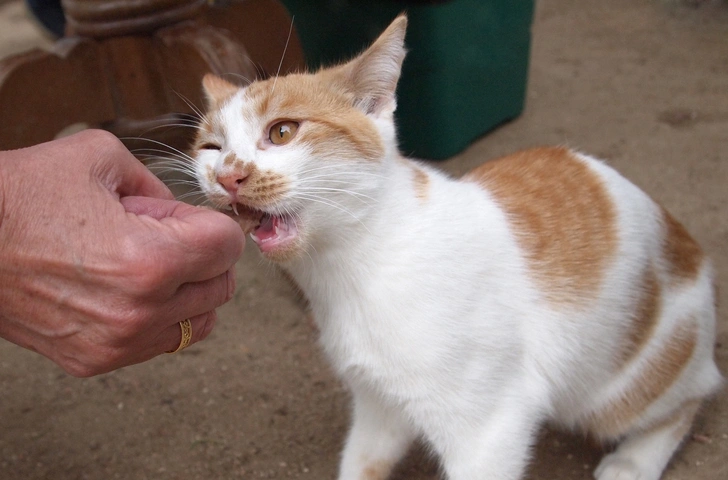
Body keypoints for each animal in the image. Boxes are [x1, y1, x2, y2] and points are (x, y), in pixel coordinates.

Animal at [189, 15, 724, 480]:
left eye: (282, 132)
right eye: (211, 149)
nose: (228, 176)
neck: (355, 268)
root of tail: (691, 249)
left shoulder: (488, 429)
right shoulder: (378, 404)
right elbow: (363, 463)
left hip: (620, 386)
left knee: (696, 393)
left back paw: (634, 461)